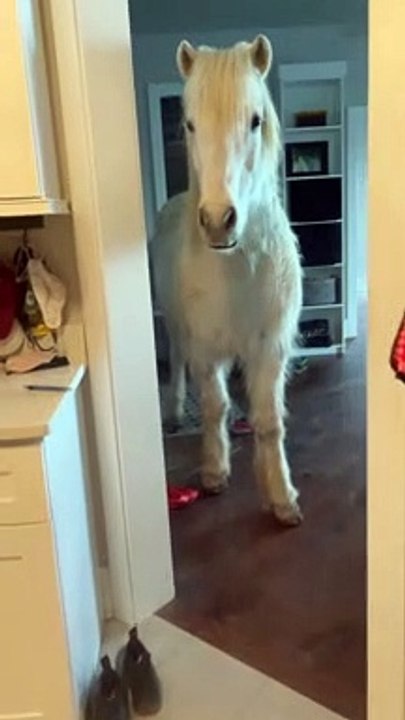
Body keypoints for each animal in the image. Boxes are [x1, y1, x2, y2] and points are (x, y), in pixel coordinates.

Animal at [151, 36, 303, 526]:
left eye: (255, 121)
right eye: (189, 123)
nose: (219, 221)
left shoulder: (269, 347)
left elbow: (269, 421)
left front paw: (281, 497)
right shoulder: (205, 347)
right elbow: (214, 406)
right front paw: (215, 471)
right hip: (178, 328)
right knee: (178, 363)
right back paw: (174, 412)